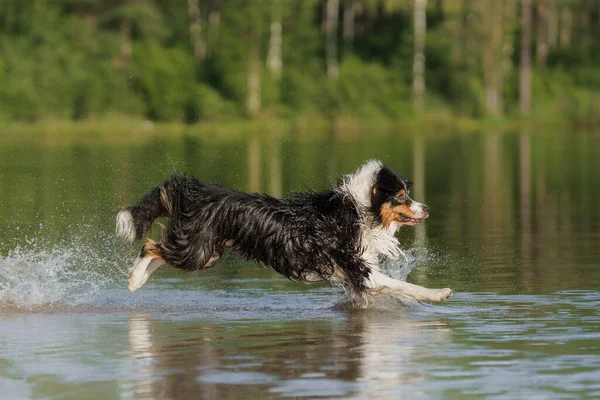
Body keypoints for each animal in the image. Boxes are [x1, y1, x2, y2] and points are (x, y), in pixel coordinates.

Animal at [115, 161, 452, 304]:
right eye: (402, 197)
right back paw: (133, 280)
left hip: (206, 252)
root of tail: (193, 190)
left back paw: (137, 280)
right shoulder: (359, 268)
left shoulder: (358, 277)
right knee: (150, 245)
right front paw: (439, 293)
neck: (359, 211)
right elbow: (406, 286)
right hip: (198, 251)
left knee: (159, 250)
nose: (427, 208)